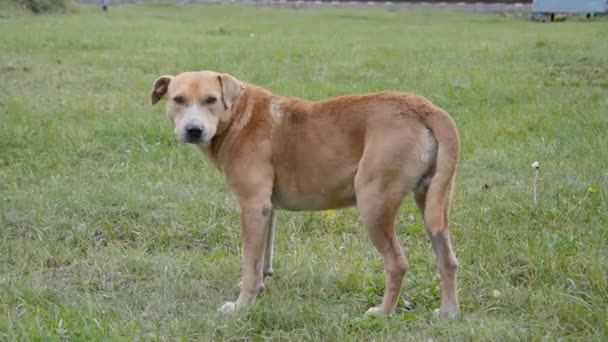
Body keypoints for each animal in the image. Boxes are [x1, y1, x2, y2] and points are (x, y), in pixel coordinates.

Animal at [152, 71, 460, 316]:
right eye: (177, 99)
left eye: (211, 100)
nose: (194, 130)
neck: (241, 117)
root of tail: (422, 107)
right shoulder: (267, 209)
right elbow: (262, 259)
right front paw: (260, 288)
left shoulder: (252, 206)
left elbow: (249, 265)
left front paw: (241, 307)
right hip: (432, 203)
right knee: (448, 260)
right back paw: (448, 313)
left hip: (374, 203)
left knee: (397, 263)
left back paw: (383, 312)